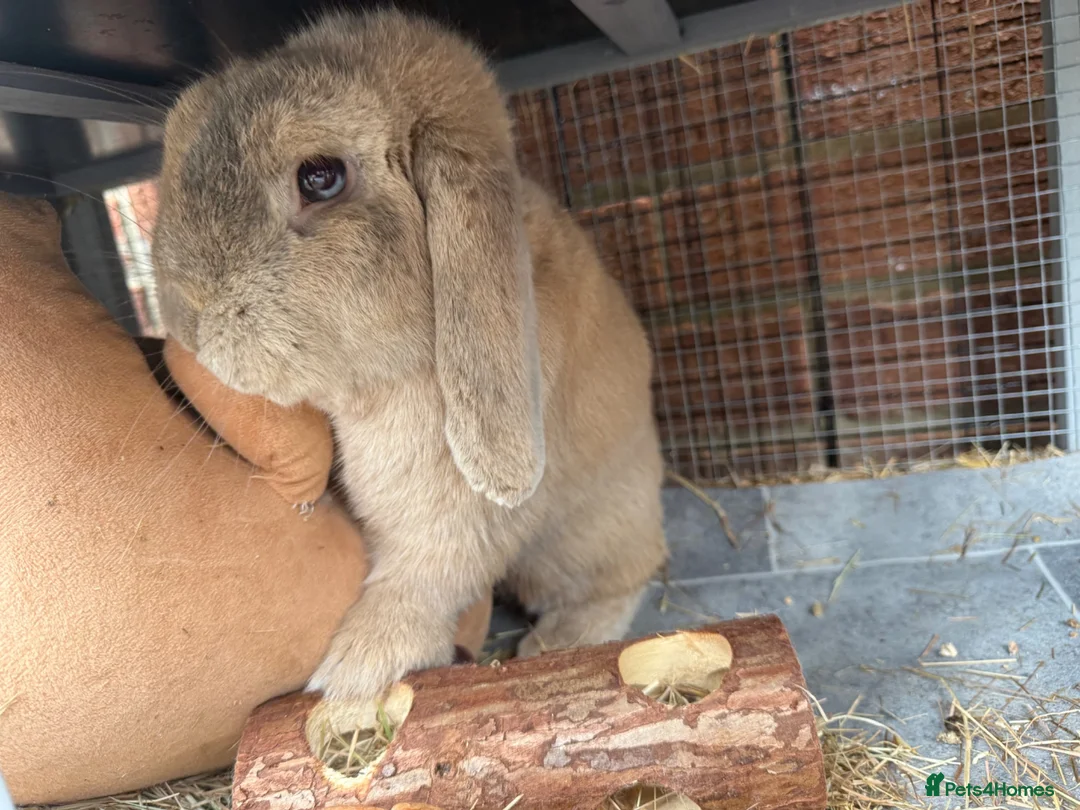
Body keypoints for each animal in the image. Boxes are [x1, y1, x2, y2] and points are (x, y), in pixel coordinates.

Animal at [151, 7, 669, 702]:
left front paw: (352, 671)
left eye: (320, 177)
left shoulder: (452, 516)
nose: (186, 311)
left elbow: (423, 579)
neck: (381, 386)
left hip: (590, 534)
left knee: (625, 577)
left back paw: (560, 639)